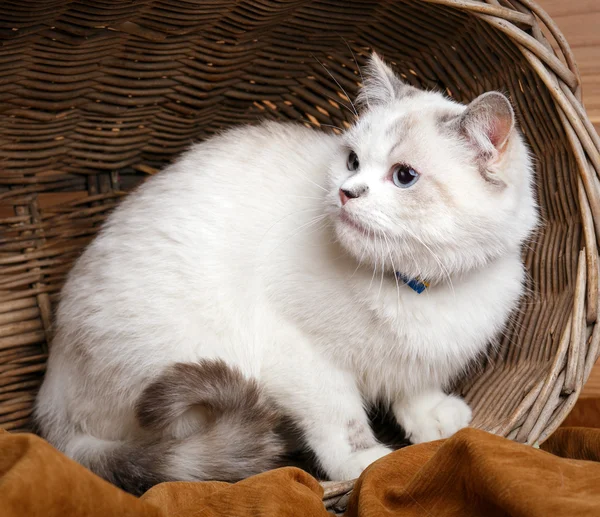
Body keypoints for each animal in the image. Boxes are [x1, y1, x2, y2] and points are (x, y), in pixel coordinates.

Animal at [35, 54, 536, 494]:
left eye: (404, 176)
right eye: (352, 161)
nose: (346, 192)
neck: (415, 285)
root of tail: (49, 396)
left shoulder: (422, 357)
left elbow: (414, 385)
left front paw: (430, 419)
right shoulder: (300, 354)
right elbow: (341, 417)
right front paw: (364, 462)